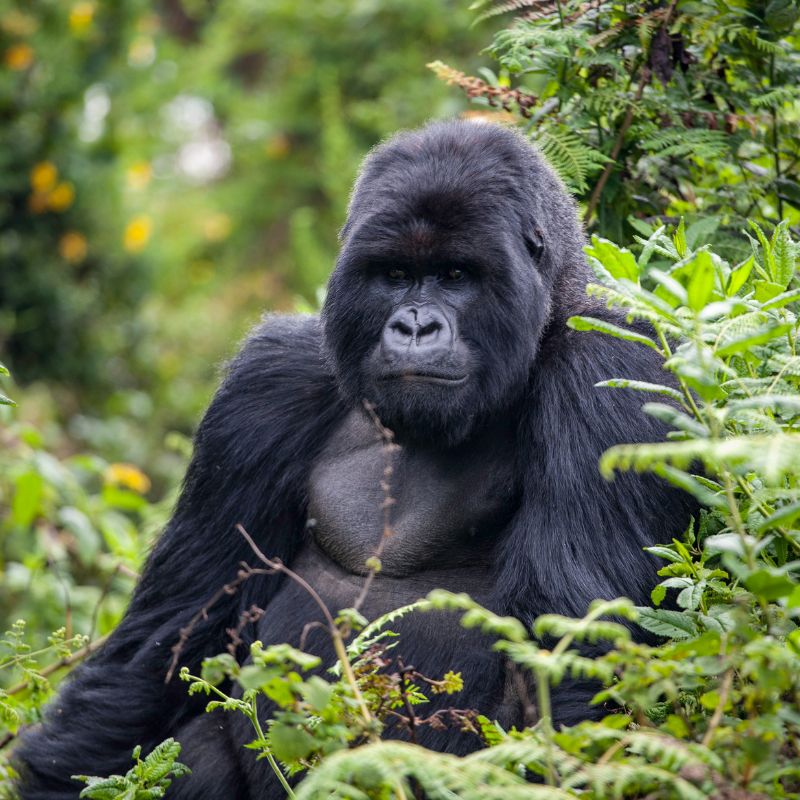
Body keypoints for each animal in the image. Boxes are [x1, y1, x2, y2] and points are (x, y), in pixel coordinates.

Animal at [17, 122, 692, 796]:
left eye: (456, 274)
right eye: (394, 274)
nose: (415, 327)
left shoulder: (608, 371)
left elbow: (571, 664)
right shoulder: (267, 383)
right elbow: (168, 640)